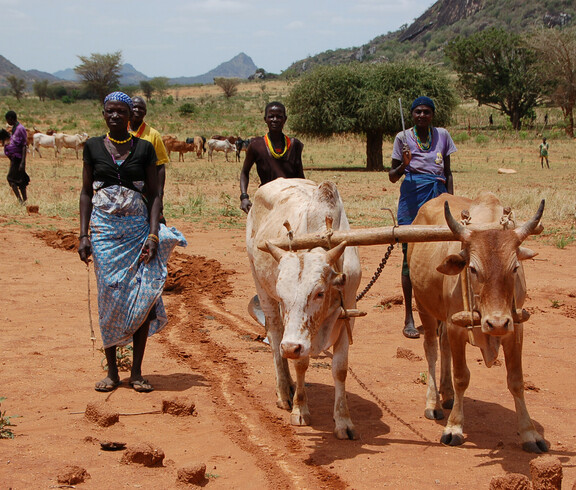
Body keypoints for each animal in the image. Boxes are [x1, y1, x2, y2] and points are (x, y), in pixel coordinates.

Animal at [246, 178, 360, 438]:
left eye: (319, 293)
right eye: (283, 294)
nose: (291, 347)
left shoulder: (347, 312)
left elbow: (340, 369)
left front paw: (343, 420)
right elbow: (300, 362)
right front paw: (300, 410)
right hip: (261, 286)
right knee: (275, 335)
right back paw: (284, 391)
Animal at [408, 193, 548, 454]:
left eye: (515, 267)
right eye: (472, 269)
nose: (496, 324)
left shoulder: (516, 327)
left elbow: (516, 380)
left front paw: (530, 433)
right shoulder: (456, 327)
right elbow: (462, 377)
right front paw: (454, 428)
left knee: (443, 346)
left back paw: (447, 394)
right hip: (423, 305)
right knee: (431, 349)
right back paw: (433, 402)